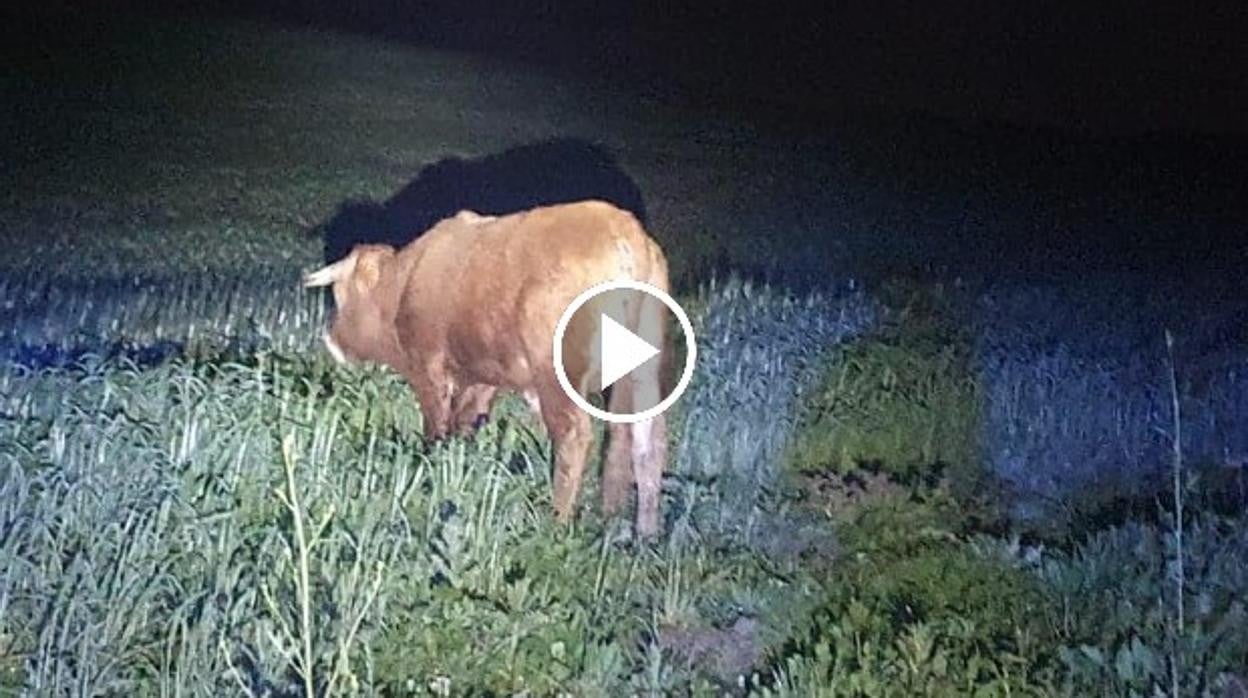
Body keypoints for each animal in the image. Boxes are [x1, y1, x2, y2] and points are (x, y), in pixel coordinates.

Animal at [303, 199, 673, 536]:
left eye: (339, 295)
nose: (330, 341)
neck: (403, 284)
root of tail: (626, 233)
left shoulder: (429, 368)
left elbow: (436, 430)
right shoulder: (482, 376)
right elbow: (465, 424)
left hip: (559, 375)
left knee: (575, 435)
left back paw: (557, 520)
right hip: (641, 373)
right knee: (644, 441)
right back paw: (639, 529)